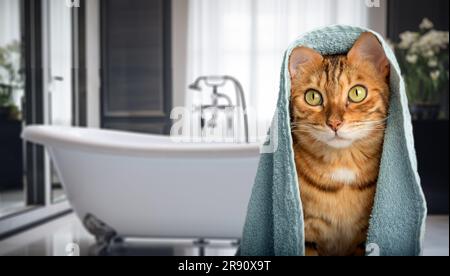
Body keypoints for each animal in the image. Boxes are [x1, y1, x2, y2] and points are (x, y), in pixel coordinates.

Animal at [288, 33, 390, 256]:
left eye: (357, 93)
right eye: (313, 96)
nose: (334, 123)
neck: (343, 163)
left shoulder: (363, 236)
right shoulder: (306, 233)